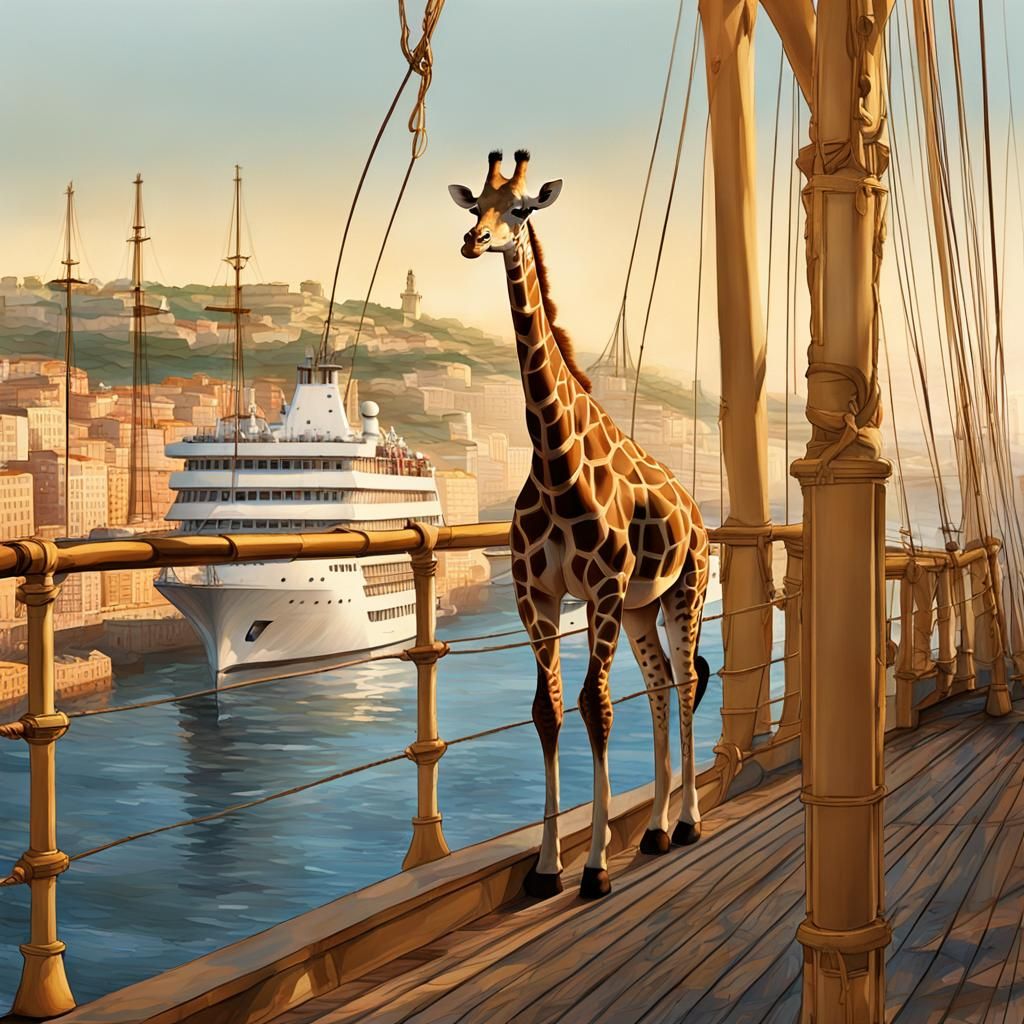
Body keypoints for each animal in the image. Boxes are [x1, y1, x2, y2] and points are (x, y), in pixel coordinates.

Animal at [450, 150, 710, 900]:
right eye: (474, 203)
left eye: (521, 209)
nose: (475, 241)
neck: (554, 461)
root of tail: (699, 514)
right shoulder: (534, 596)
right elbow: (549, 710)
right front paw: (545, 868)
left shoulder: (599, 591)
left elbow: (597, 707)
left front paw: (592, 867)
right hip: (643, 608)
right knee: (660, 684)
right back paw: (655, 830)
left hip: (684, 592)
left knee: (685, 681)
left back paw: (688, 822)